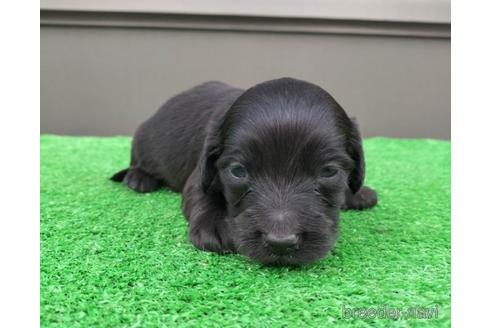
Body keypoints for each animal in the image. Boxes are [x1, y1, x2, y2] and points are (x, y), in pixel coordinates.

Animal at [112, 78, 376, 266]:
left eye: (329, 172)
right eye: (238, 172)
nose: (281, 243)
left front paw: (357, 194)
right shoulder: (200, 175)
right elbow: (202, 196)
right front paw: (214, 225)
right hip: (143, 139)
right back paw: (138, 178)